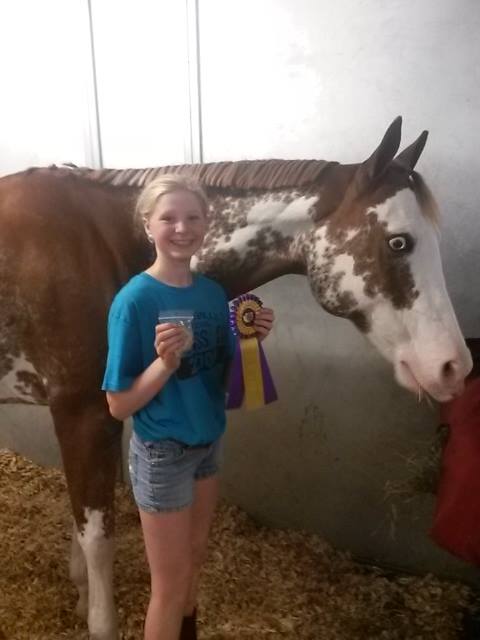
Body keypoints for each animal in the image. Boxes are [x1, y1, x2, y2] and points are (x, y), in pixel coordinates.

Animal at [0, 116, 472, 639]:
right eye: (398, 242)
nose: (454, 366)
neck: (104, 244)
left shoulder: (93, 415)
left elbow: (82, 525)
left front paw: (82, 597)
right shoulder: (80, 412)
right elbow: (98, 538)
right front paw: (98, 617)